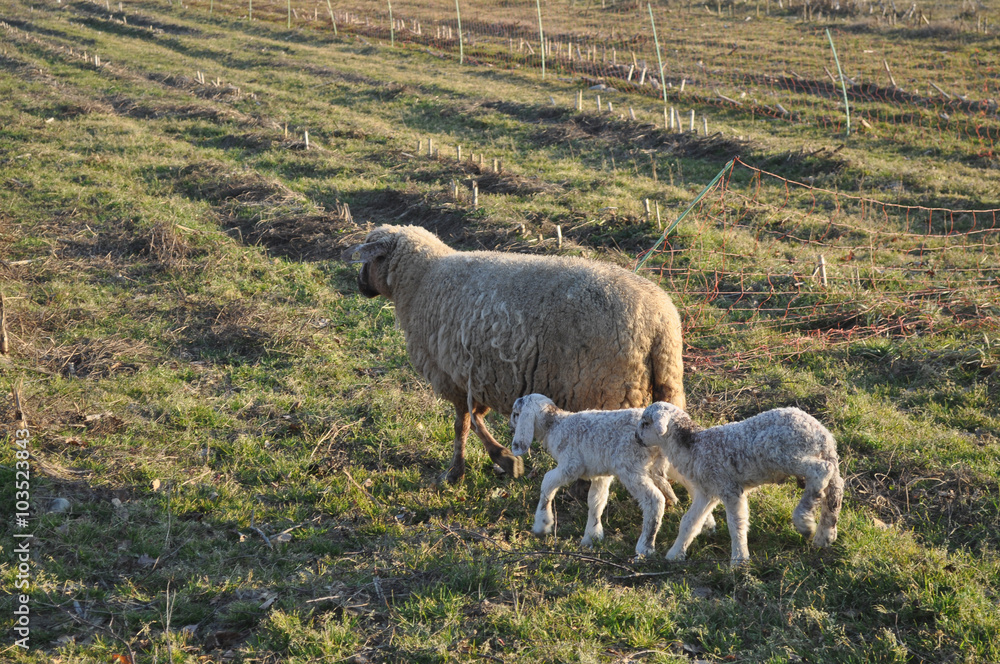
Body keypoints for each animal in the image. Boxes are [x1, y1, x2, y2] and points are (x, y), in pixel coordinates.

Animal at [342, 224, 685, 485]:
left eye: (368, 259)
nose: (359, 285)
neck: (421, 279)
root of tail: (660, 321)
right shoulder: (479, 377)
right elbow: (474, 419)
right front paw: (496, 460)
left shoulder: (453, 375)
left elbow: (463, 424)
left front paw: (471, 468)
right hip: (664, 386)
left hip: (607, 390)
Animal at [509, 393, 692, 556]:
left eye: (516, 413)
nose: (511, 427)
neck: (555, 425)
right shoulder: (600, 474)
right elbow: (596, 500)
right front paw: (592, 536)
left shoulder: (571, 465)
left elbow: (547, 482)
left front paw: (542, 524)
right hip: (673, 461)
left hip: (629, 466)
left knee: (654, 500)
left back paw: (645, 547)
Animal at [635, 402, 844, 566]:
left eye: (646, 423)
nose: (637, 438)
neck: (694, 445)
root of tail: (822, 433)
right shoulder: (708, 491)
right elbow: (689, 522)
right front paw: (674, 554)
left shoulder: (731, 489)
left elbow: (736, 524)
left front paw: (739, 560)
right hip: (808, 456)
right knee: (835, 488)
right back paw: (825, 535)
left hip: (786, 454)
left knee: (821, 471)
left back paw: (804, 521)